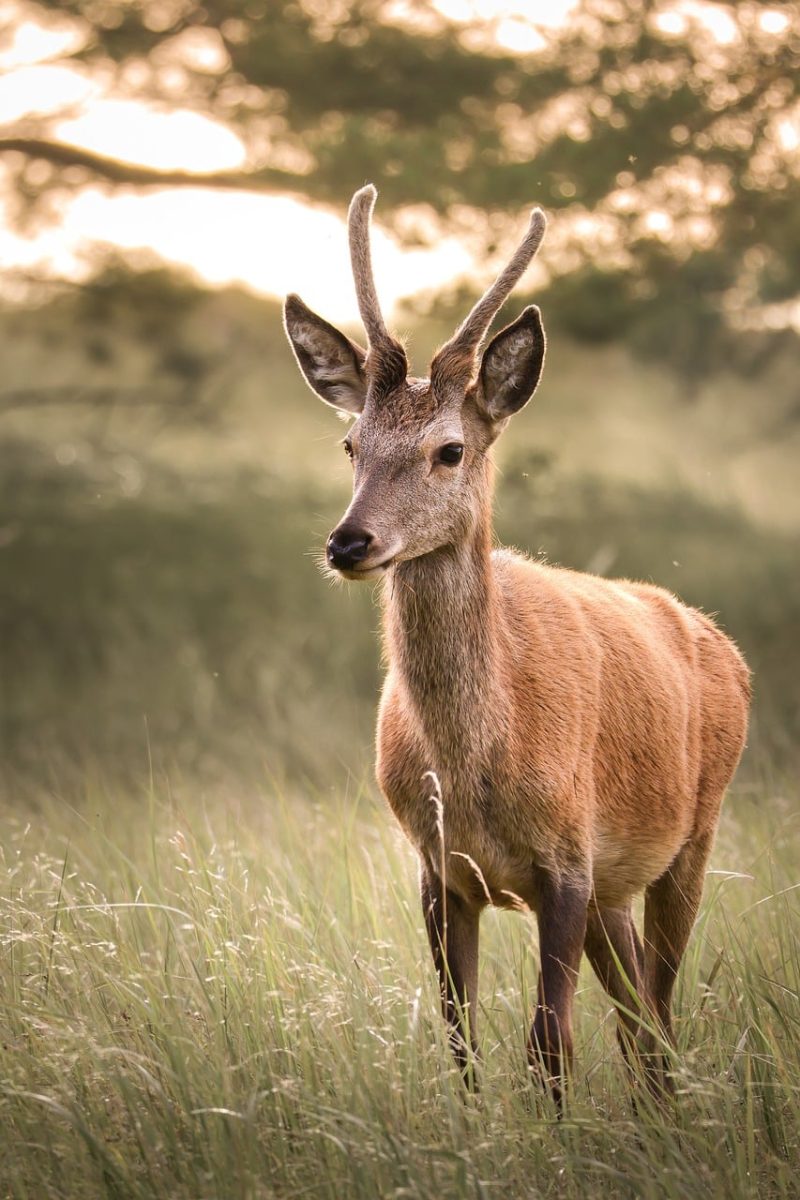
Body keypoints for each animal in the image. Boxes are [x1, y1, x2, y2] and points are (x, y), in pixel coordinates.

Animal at [283, 184, 750, 1107]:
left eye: (449, 449)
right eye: (350, 444)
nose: (348, 542)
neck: (478, 765)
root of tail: (727, 649)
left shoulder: (566, 859)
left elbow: (548, 1045)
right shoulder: (439, 868)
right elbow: (460, 1043)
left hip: (695, 833)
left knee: (659, 1012)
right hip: (614, 889)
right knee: (639, 1017)